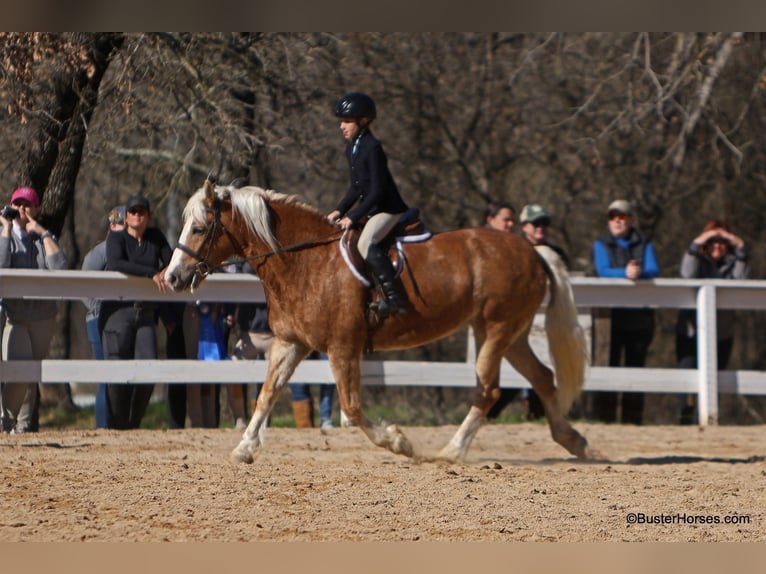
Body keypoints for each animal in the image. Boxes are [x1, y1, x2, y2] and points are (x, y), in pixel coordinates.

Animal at [165, 182, 592, 466]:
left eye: (199, 228)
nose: (171, 278)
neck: (305, 261)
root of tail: (532, 250)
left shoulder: (342, 348)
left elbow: (352, 408)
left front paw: (399, 442)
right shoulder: (290, 343)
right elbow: (267, 394)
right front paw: (244, 448)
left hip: (497, 329)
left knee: (488, 389)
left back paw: (451, 451)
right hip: (510, 334)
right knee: (542, 377)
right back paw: (575, 442)